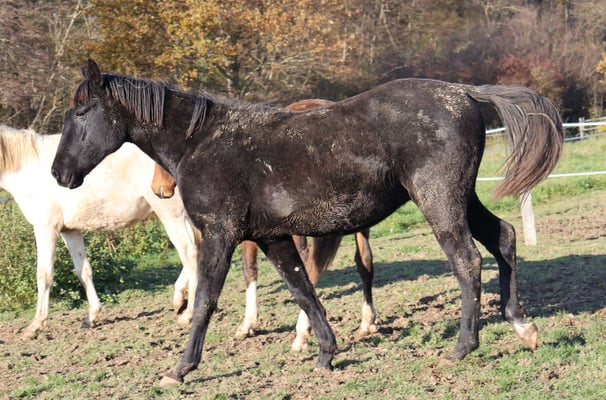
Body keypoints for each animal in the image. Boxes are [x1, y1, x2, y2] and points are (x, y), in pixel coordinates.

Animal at [0, 124, 201, 339]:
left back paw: (188, 313)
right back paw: (180, 299)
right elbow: (83, 271)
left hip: (172, 216)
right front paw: (92, 316)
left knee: (190, 254)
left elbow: (44, 275)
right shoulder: (70, 231)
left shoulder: (46, 229)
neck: (29, 168)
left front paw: (35, 325)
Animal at [151, 98, 377, 351]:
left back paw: (303, 331)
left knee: (310, 265)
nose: (158, 188)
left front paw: (247, 324)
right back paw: (366, 321)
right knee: (363, 261)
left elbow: (249, 270)